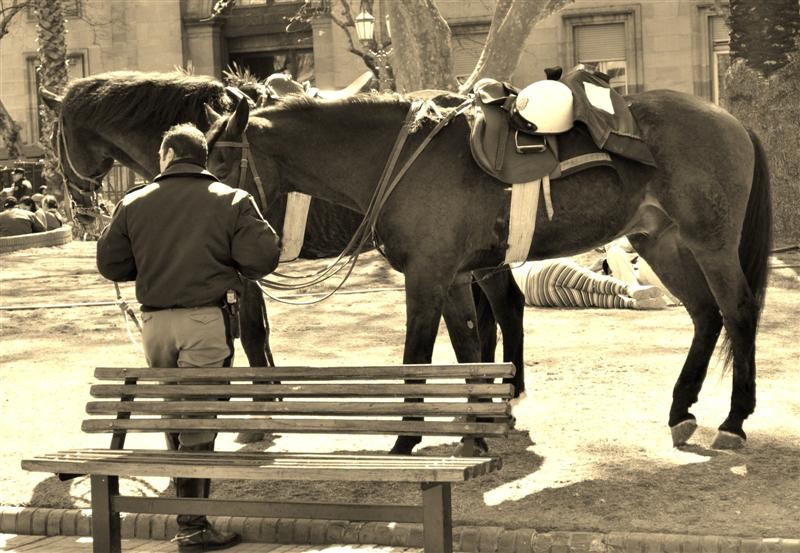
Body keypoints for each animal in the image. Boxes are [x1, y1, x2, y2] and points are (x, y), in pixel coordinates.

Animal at [45, 70, 532, 414]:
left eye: (53, 138)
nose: (80, 211)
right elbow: (252, 333)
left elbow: (251, 333)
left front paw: (260, 406)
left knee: (505, 306)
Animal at [203, 89, 772, 452]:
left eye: (223, 164)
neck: (401, 160)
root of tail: (730, 119)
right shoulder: (455, 279)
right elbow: (469, 347)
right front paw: (475, 430)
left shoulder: (427, 277)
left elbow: (418, 356)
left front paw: (407, 438)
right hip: (662, 241)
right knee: (706, 315)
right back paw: (681, 411)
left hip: (710, 244)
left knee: (738, 311)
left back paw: (734, 421)